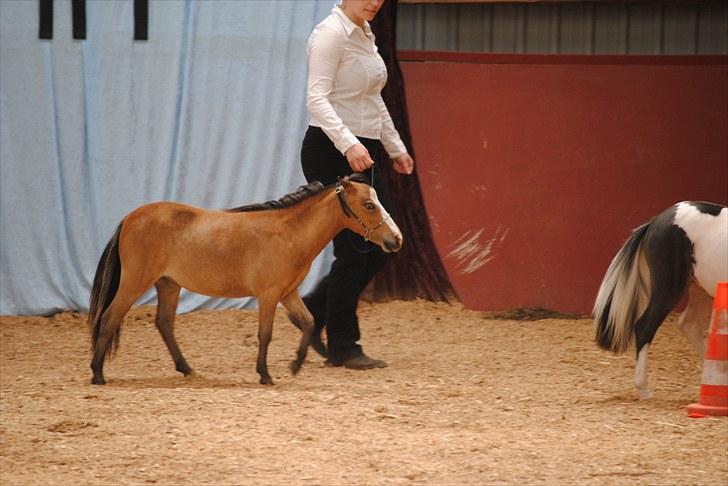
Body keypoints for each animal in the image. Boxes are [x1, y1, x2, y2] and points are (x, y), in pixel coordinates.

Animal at [89, 173, 404, 386]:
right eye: (369, 205)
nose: (396, 239)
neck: (288, 234)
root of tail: (131, 217)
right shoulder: (269, 294)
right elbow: (265, 334)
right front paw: (265, 374)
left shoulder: (289, 293)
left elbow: (308, 322)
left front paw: (295, 364)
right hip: (134, 283)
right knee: (109, 317)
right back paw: (97, 373)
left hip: (168, 284)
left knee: (164, 323)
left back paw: (186, 369)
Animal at [596, 201, 724, 398]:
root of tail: (656, 221)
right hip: (669, 288)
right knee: (644, 327)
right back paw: (644, 390)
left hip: (700, 289)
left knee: (690, 325)